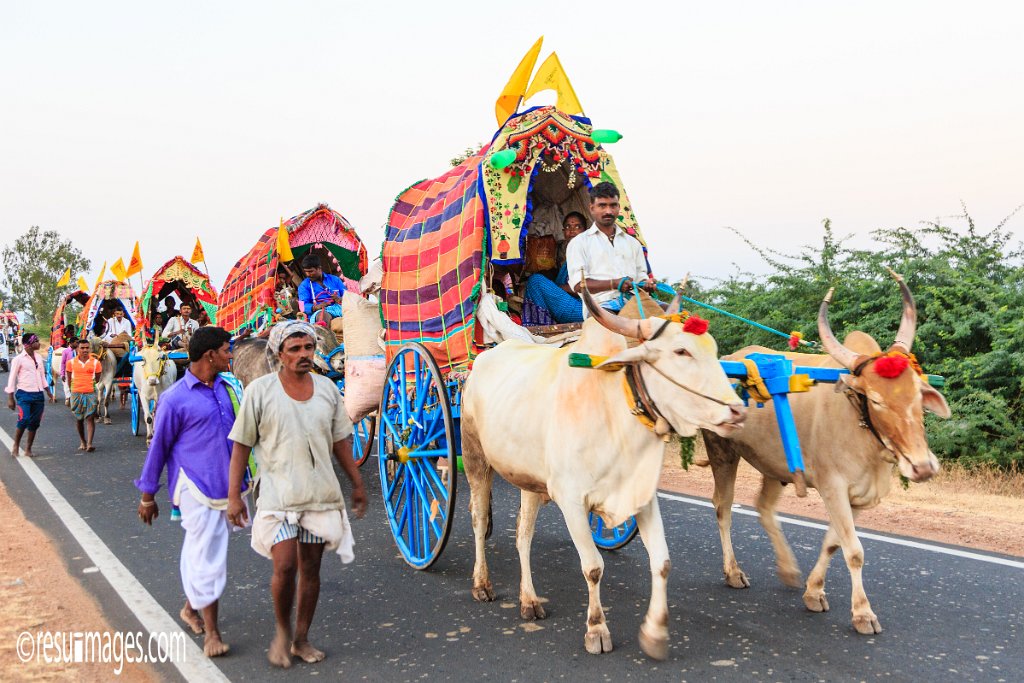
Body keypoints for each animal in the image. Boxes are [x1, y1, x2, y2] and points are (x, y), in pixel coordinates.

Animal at [462, 290, 745, 663]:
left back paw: (529, 600)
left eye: (713, 348)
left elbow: (662, 562)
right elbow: (593, 567)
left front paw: (655, 632)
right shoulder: (571, 500)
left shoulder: (642, 496)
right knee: (479, 520)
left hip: (529, 480)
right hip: (475, 457)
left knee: (523, 534)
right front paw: (597, 629)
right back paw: (482, 584)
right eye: (681, 351)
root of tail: (487, 355)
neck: (616, 416)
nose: (737, 410)